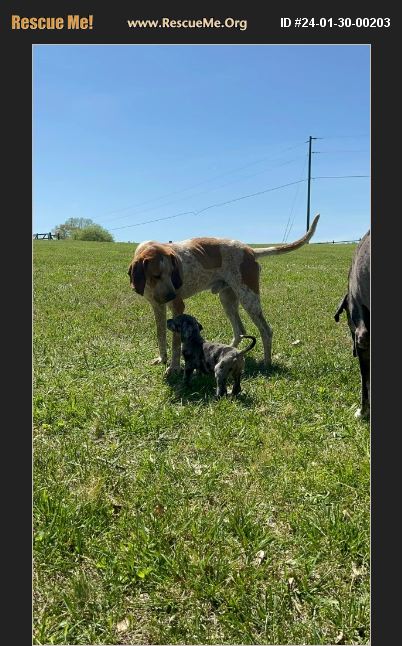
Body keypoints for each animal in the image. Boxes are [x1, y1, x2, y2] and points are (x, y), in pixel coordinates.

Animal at [129, 215, 320, 372]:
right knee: (240, 330)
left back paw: (267, 363)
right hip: (227, 300)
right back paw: (227, 352)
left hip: (249, 299)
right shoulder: (157, 307)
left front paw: (174, 368)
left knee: (266, 331)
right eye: (156, 275)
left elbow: (176, 343)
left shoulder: (177, 307)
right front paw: (162, 358)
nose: (171, 296)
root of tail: (250, 250)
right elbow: (161, 335)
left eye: (173, 272)